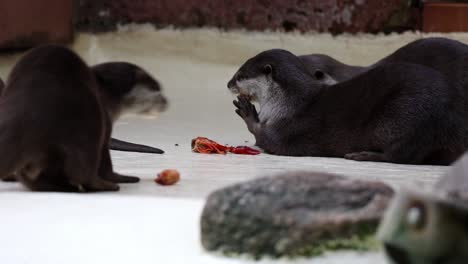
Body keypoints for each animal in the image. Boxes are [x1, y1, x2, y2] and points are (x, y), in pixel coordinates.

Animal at [228, 49, 464, 165]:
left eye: (240, 74)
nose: (228, 84)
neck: (287, 103)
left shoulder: (287, 129)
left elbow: (266, 139)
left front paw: (248, 112)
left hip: (403, 115)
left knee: (403, 154)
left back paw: (366, 155)